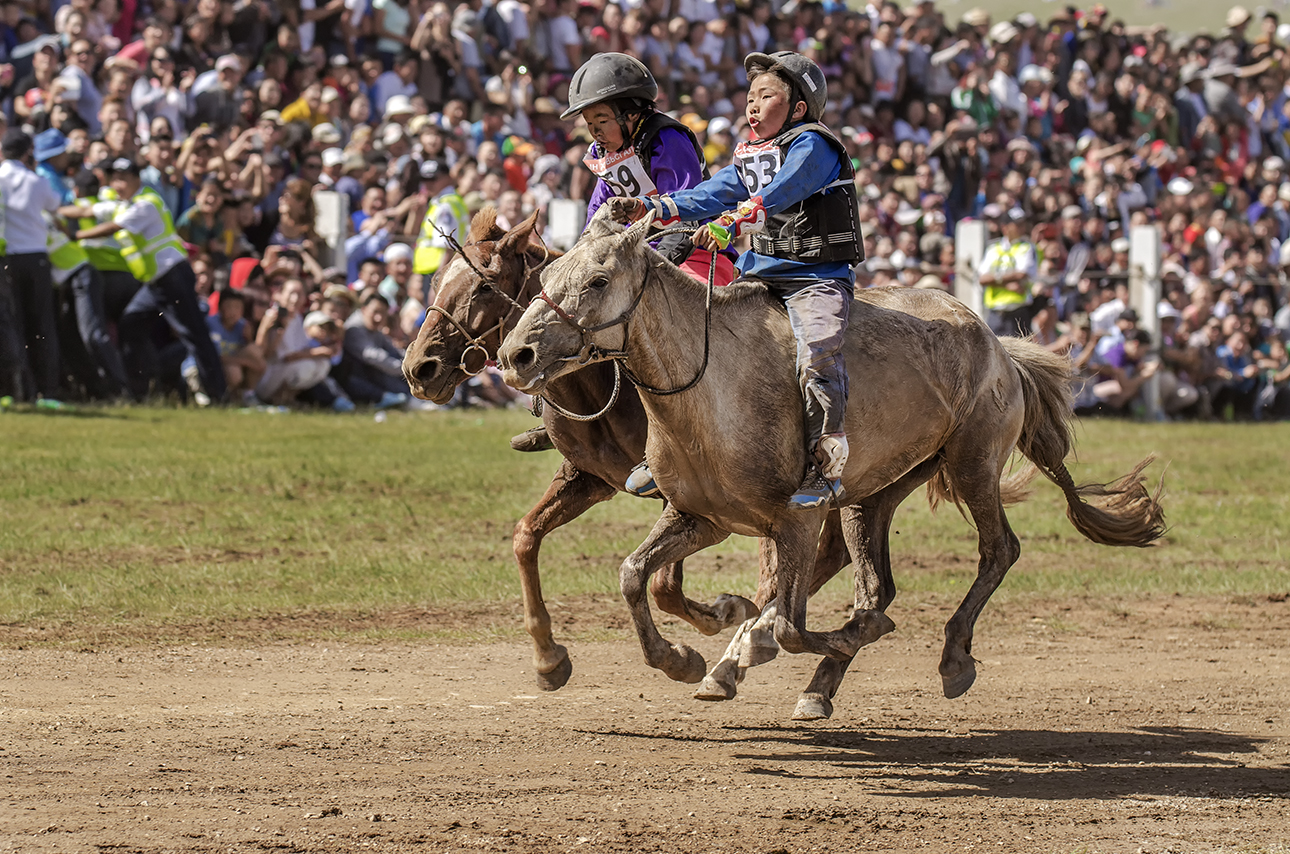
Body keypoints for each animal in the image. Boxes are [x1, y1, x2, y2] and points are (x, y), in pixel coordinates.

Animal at [497, 208, 1166, 717]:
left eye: (597, 279)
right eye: (548, 272)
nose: (515, 354)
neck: (710, 384)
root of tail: (997, 345)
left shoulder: (793, 519)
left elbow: (789, 622)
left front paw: (760, 640)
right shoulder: (700, 516)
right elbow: (637, 575)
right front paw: (682, 659)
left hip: (972, 463)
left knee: (996, 551)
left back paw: (949, 658)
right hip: (873, 493)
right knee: (874, 584)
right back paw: (799, 679)